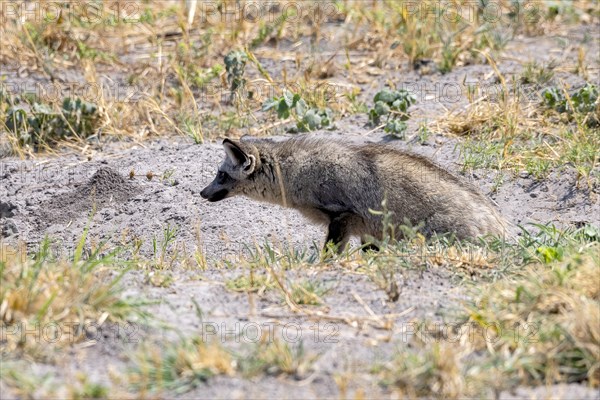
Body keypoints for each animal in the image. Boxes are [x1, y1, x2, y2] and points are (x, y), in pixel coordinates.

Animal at [200, 136, 506, 252]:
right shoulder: (371, 232)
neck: (297, 171)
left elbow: (329, 254)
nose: (202, 193)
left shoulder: (341, 216)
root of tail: (500, 226)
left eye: (221, 175)